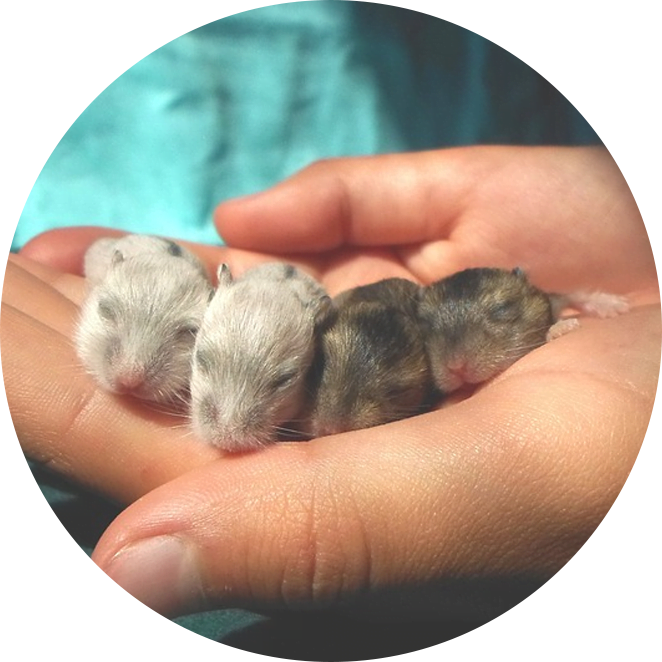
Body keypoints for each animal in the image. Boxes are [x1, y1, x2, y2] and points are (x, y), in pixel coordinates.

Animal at [417, 267, 630, 394]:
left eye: (502, 308)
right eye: (425, 323)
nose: (456, 368)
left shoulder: (551, 297)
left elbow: (574, 294)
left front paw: (618, 307)